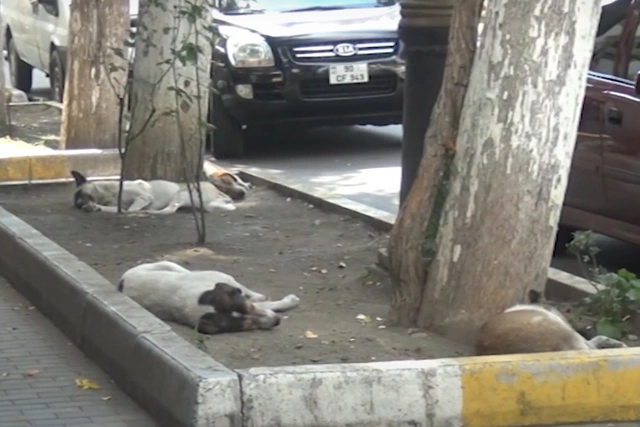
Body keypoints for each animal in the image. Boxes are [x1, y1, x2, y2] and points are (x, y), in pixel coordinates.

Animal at [70, 160, 250, 216]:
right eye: (76, 197)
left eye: (80, 193)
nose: (78, 205)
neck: (108, 194)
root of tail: (220, 192)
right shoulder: (118, 206)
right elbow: (118, 209)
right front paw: (93, 207)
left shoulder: (143, 197)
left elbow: (131, 209)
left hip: (183, 193)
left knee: (171, 209)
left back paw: (151, 212)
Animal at [119, 260, 302, 334]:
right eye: (244, 325)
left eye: (246, 308)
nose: (277, 321)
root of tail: (121, 282)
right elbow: (268, 305)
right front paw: (289, 301)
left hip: (169, 264)